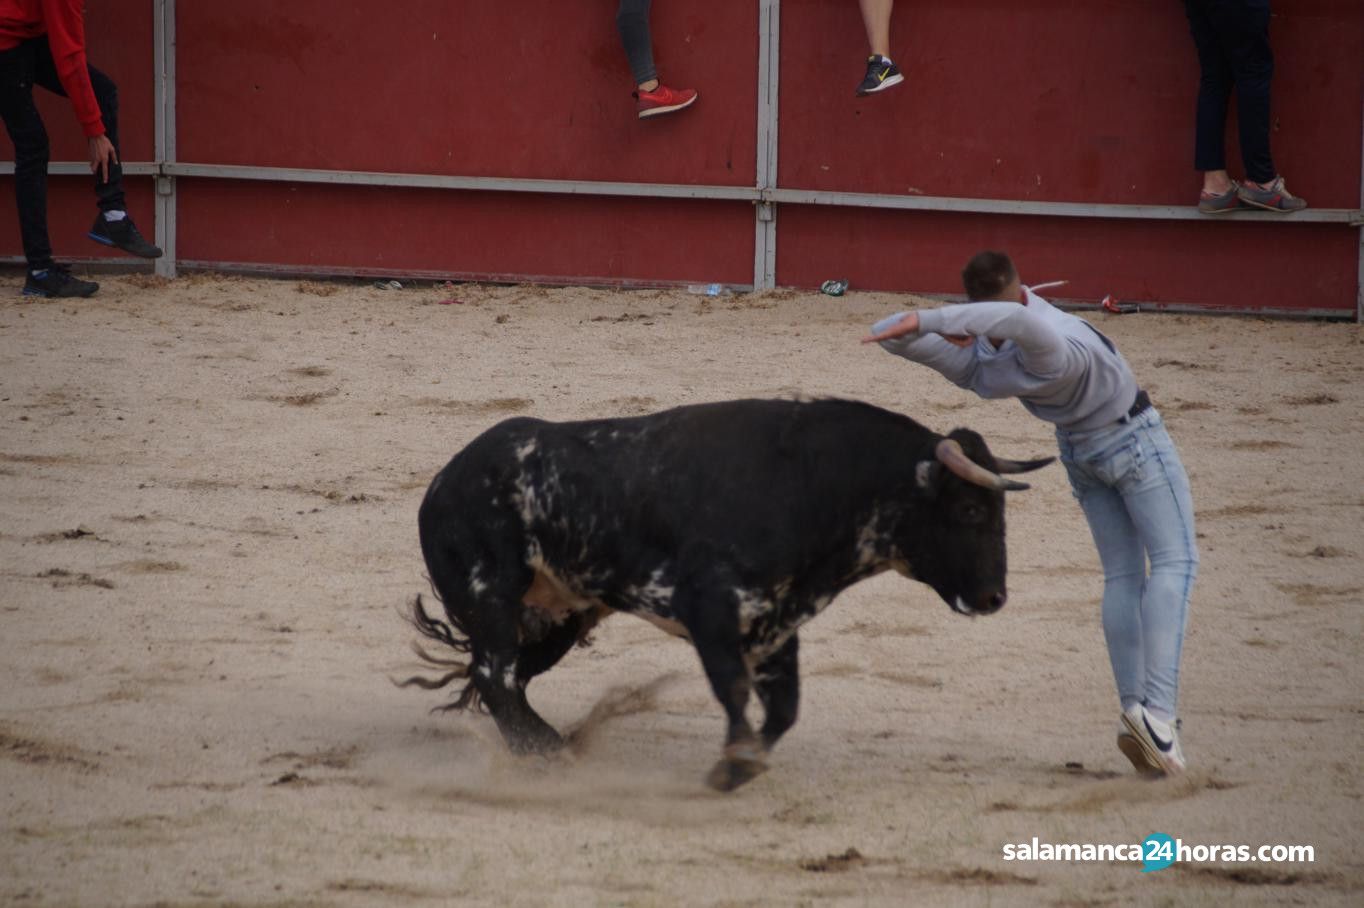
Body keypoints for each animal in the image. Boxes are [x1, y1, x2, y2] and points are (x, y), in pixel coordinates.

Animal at [398, 395, 1047, 785]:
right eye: (969, 509)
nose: (994, 597)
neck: (811, 484)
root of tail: (443, 481)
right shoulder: (709, 610)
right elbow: (734, 689)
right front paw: (734, 761)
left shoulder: (777, 623)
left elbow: (784, 707)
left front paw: (742, 763)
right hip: (491, 596)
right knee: (495, 675)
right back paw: (547, 754)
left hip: (561, 616)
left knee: (507, 678)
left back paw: (550, 744)